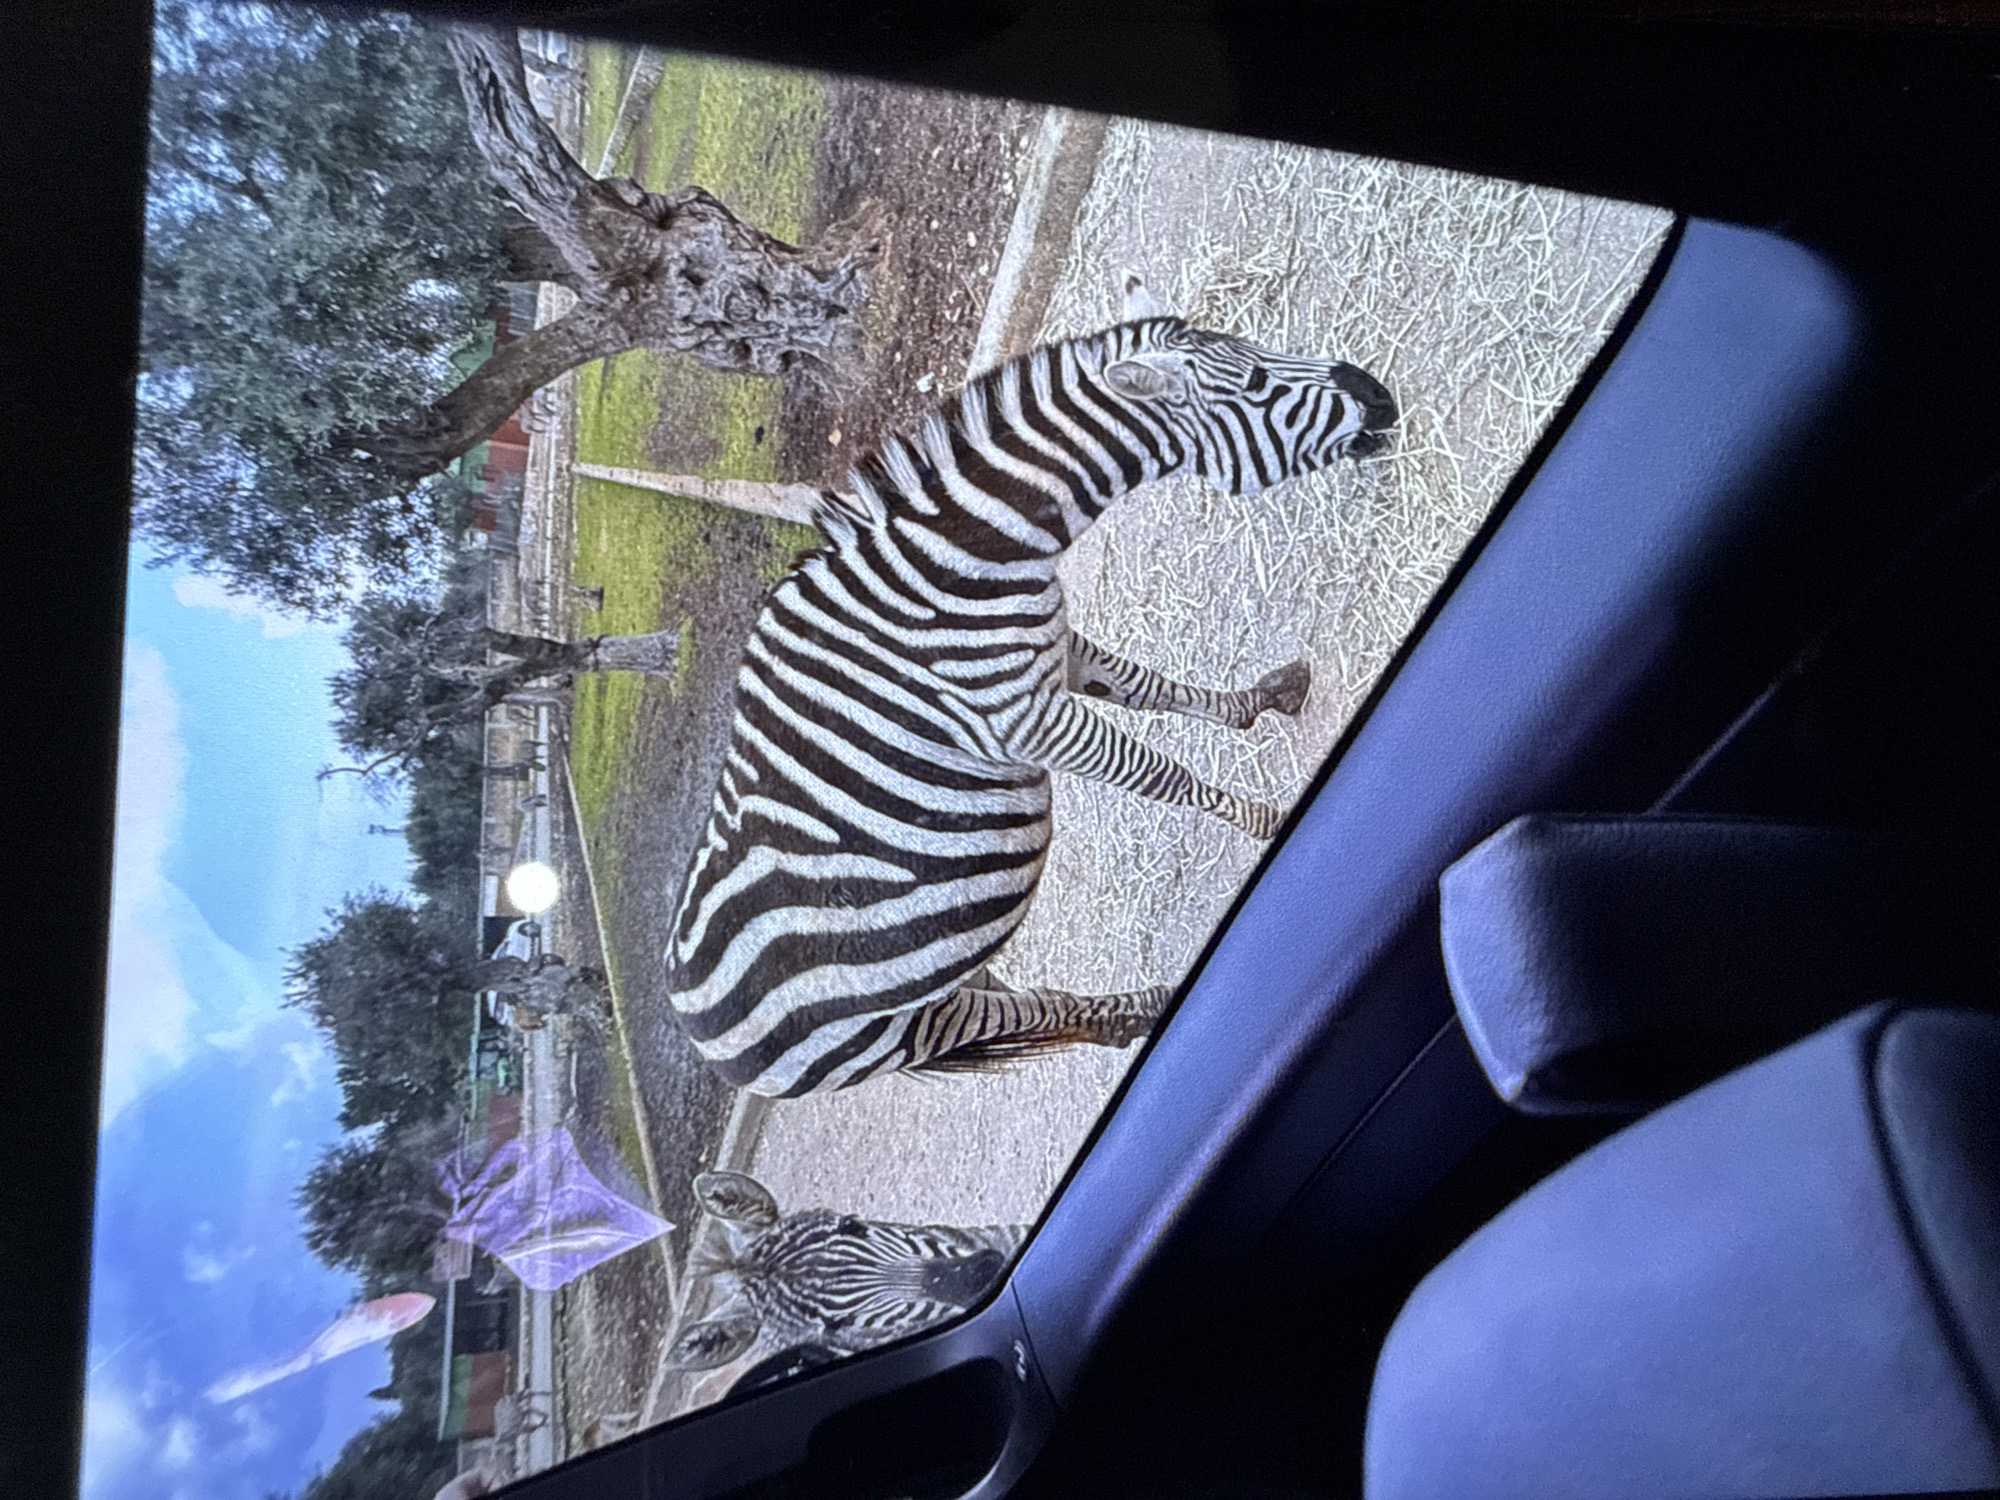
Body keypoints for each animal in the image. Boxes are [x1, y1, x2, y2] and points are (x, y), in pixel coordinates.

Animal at [662, 274, 1398, 1097]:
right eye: (1260, 387)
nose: (1380, 398)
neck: (967, 556)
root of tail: (694, 1028)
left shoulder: (1059, 651)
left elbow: (1153, 688)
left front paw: (1261, 702)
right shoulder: (1022, 719)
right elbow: (1159, 774)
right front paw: (1266, 822)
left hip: (948, 979)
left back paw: (1139, 1019)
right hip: (891, 1031)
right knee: (1035, 1012)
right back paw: (1157, 1005)